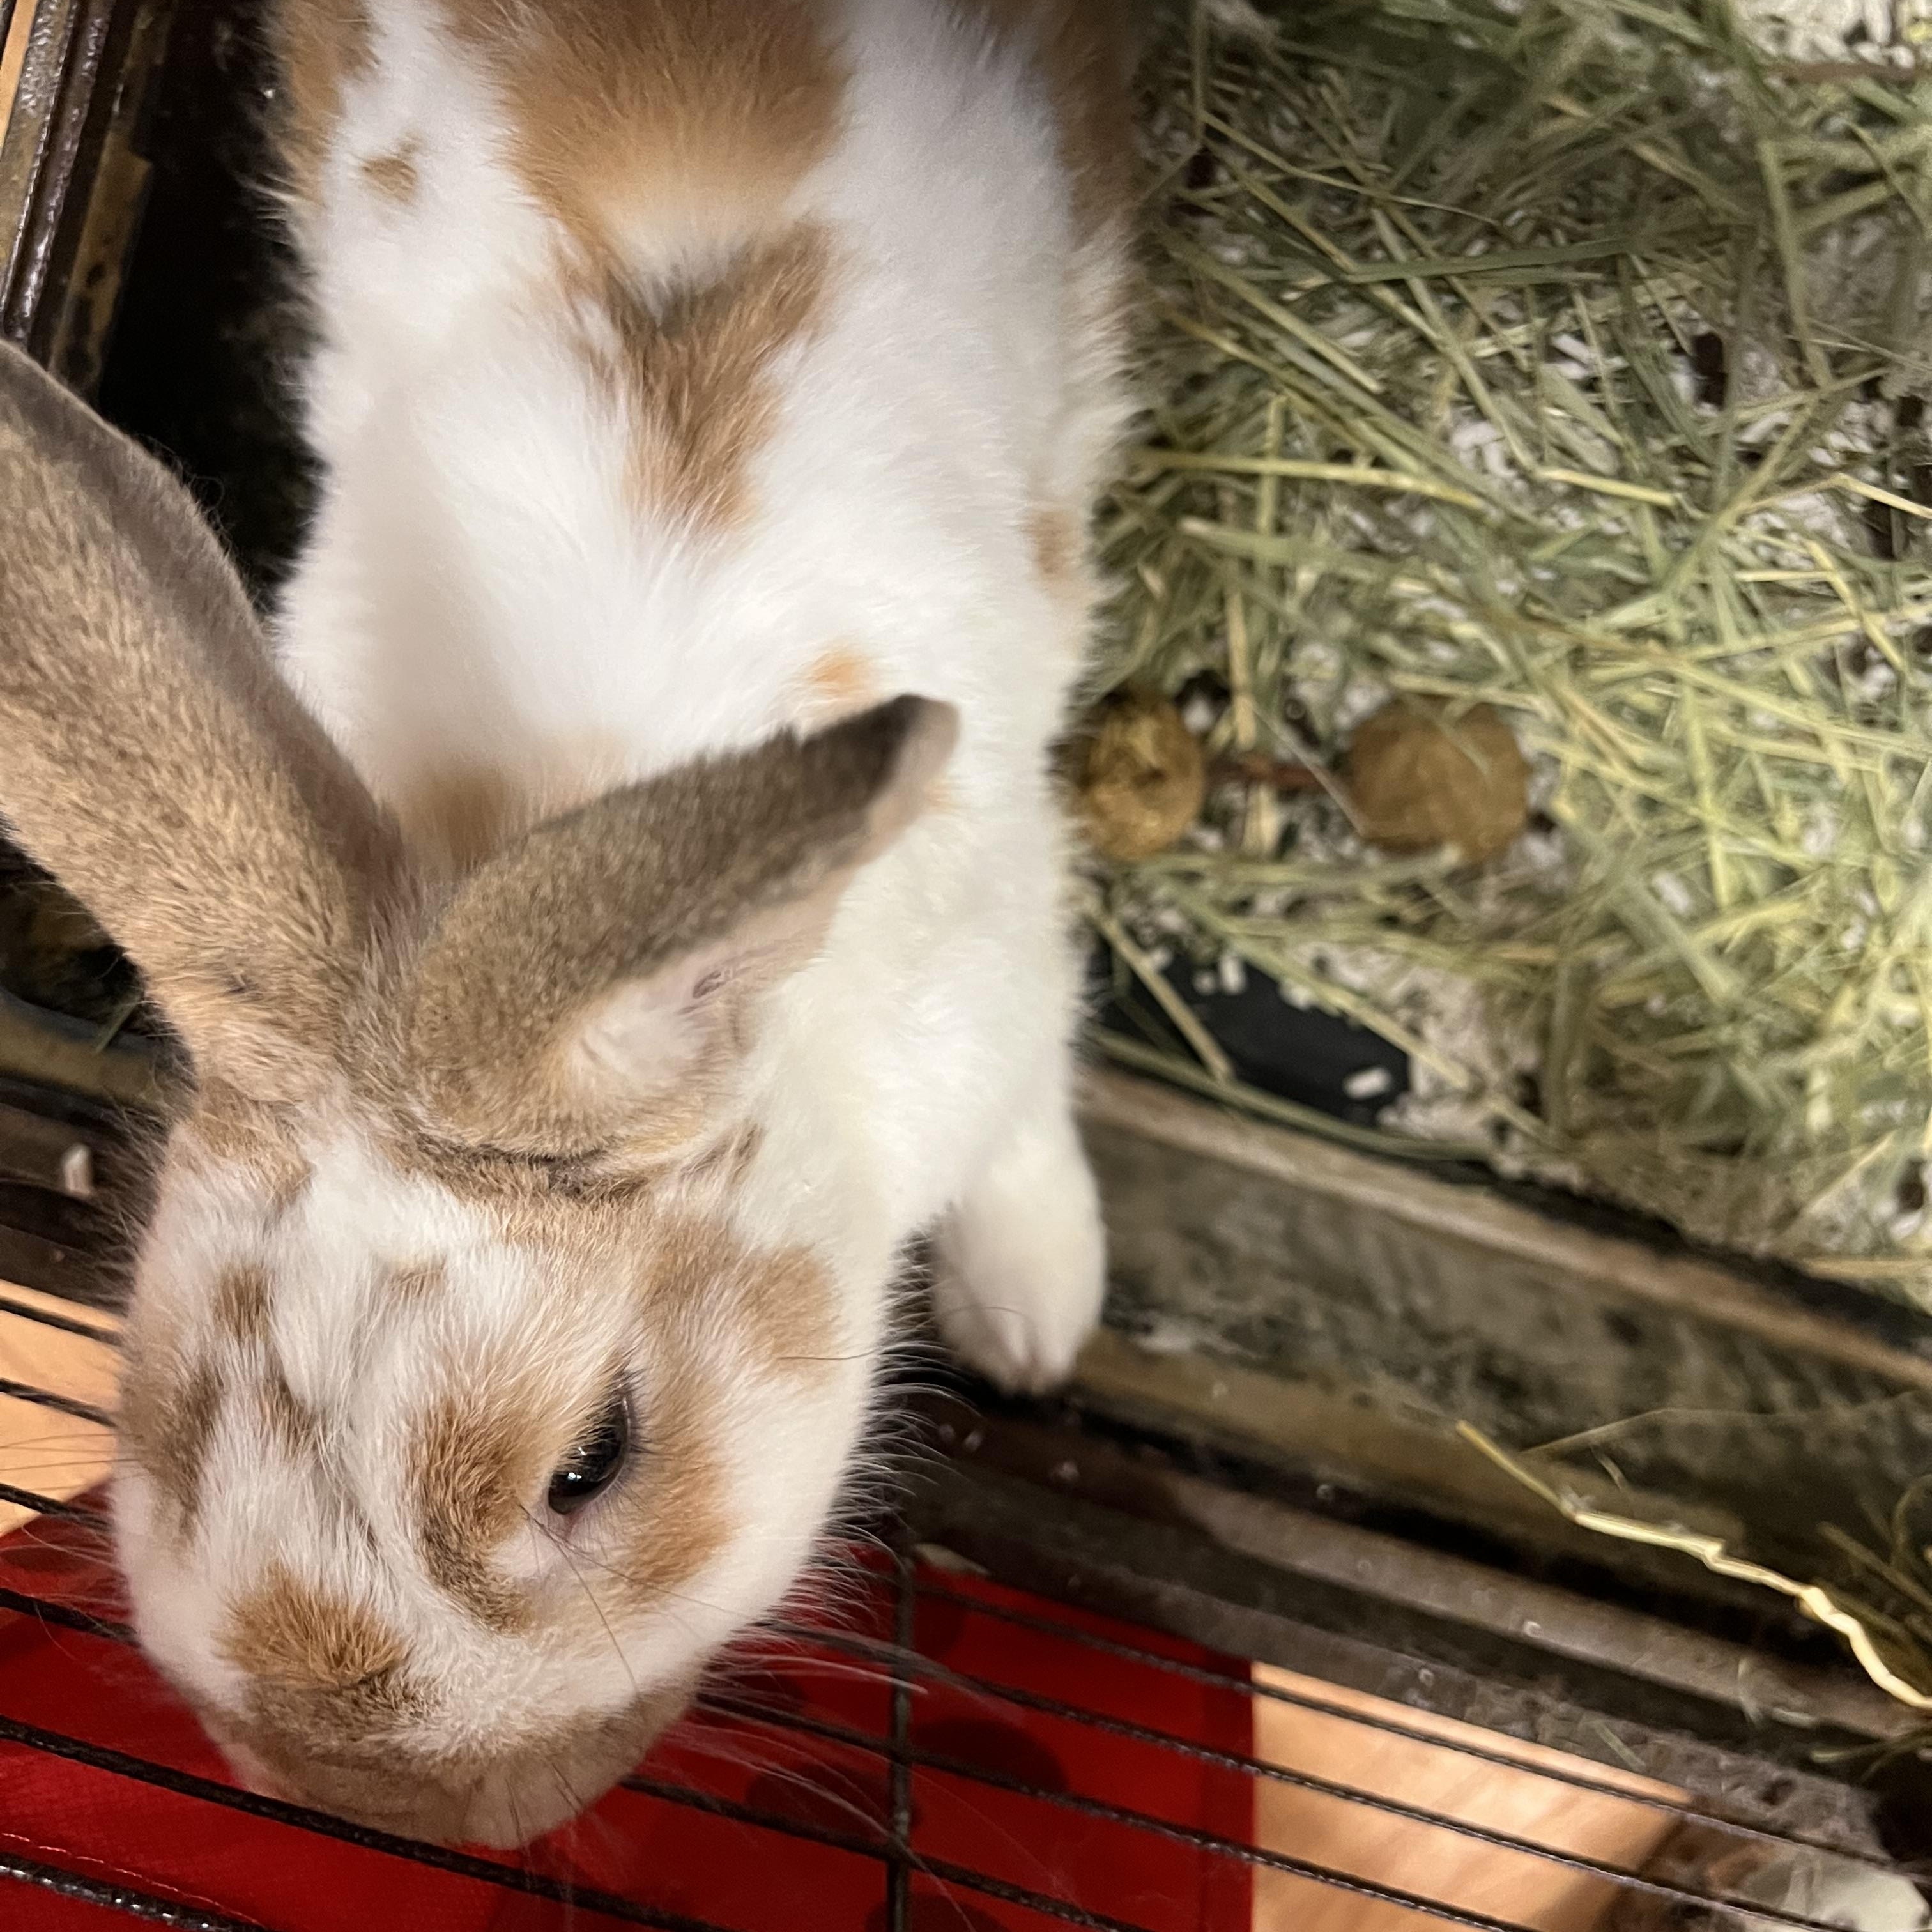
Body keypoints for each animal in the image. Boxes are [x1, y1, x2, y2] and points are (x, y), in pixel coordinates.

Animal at [0, 0, 1139, 1851]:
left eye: (592, 1462)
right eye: (161, 1423)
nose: (387, 1805)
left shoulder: (1005, 985)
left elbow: (1031, 1135)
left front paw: (1037, 1316)